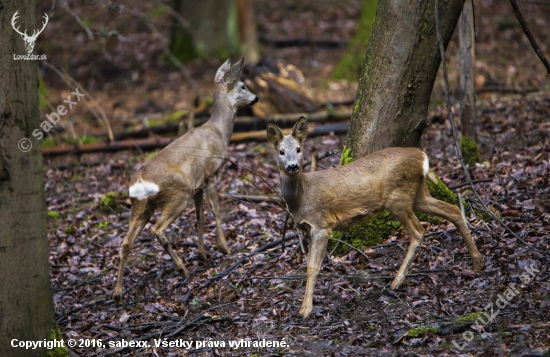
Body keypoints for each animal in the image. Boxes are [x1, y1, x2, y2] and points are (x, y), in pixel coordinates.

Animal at [115, 59, 258, 304]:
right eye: (243, 86)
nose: (256, 98)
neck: (219, 132)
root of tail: (141, 178)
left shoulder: (197, 185)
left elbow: (199, 217)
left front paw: (202, 254)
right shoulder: (211, 174)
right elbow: (216, 211)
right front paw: (225, 247)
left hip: (142, 206)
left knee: (125, 243)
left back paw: (118, 293)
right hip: (178, 195)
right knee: (157, 230)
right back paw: (181, 267)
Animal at [268, 117, 484, 318]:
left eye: (298, 149)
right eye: (281, 151)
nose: (293, 166)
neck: (303, 197)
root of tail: (422, 157)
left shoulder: (322, 225)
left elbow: (312, 266)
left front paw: (305, 310)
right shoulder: (308, 229)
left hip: (397, 197)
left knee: (419, 231)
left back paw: (396, 282)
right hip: (417, 194)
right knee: (453, 209)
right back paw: (476, 264)